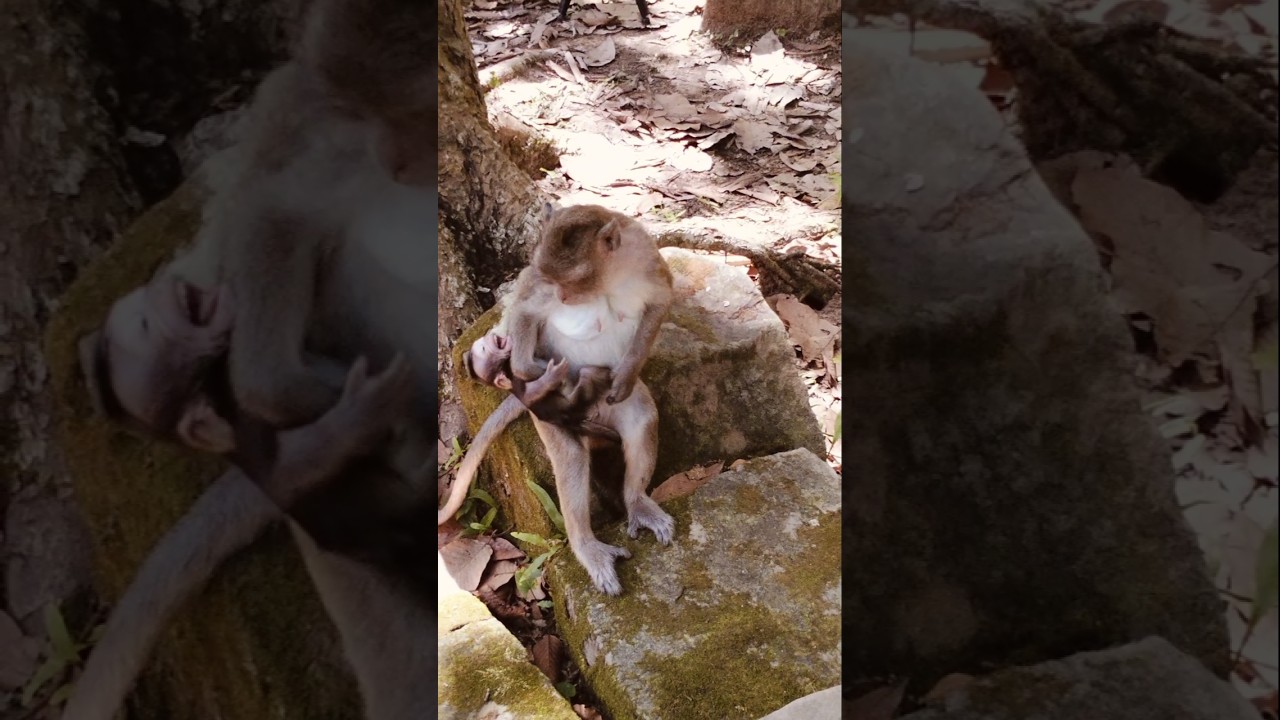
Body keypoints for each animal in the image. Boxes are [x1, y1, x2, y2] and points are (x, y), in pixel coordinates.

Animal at [462, 330, 622, 443]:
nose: (489, 335)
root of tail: (570, 422)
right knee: (588, 374)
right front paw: (553, 374)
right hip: (578, 401)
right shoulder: (517, 381)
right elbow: (530, 394)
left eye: (482, 343)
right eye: (483, 348)